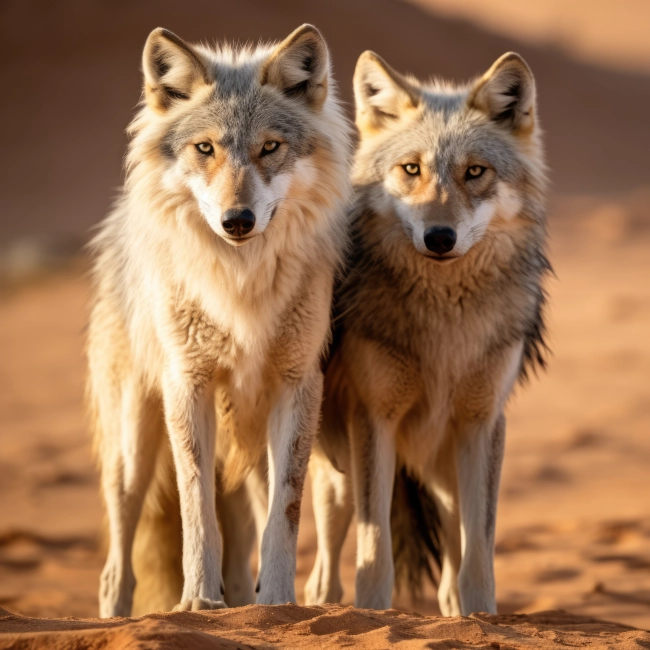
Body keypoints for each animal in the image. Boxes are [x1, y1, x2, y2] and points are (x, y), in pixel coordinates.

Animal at [86, 24, 352, 612]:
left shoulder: (298, 384)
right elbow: (196, 508)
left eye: (269, 147)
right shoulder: (189, 384)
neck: (240, 284)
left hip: (246, 439)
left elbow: (286, 511)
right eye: (205, 148)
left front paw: (276, 602)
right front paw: (198, 603)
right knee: (115, 567)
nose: (237, 220)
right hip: (133, 451)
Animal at [304, 50, 548, 612]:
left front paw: (481, 619)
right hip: (340, 475)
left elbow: (478, 559)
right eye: (411, 169)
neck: (446, 330)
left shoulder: (482, 424)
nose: (439, 237)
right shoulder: (375, 421)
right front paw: (371, 618)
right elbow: (374, 560)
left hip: (445, 471)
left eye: (474, 172)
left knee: (451, 571)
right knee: (321, 578)